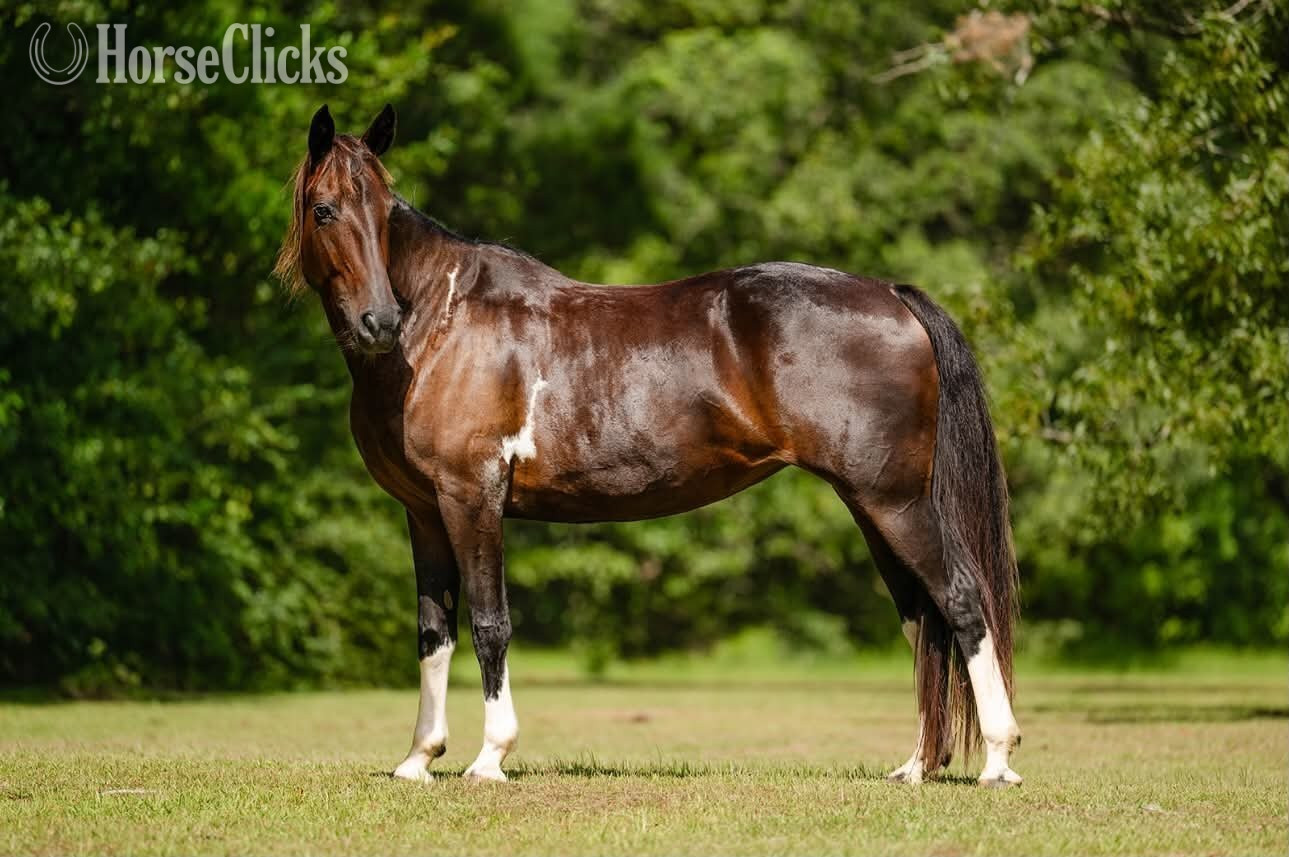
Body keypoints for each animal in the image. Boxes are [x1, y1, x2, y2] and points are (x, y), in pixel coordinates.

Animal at [274, 104, 1023, 787]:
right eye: (324, 209)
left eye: (383, 213)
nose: (378, 321)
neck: (441, 322)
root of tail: (891, 296)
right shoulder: (425, 511)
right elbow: (435, 633)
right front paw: (418, 758)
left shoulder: (472, 497)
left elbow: (490, 623)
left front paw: (489, 758)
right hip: (872, 507)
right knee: (924, 621)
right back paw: (916, 765)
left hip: (895, 503)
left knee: (961, 599)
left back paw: (997, 759)